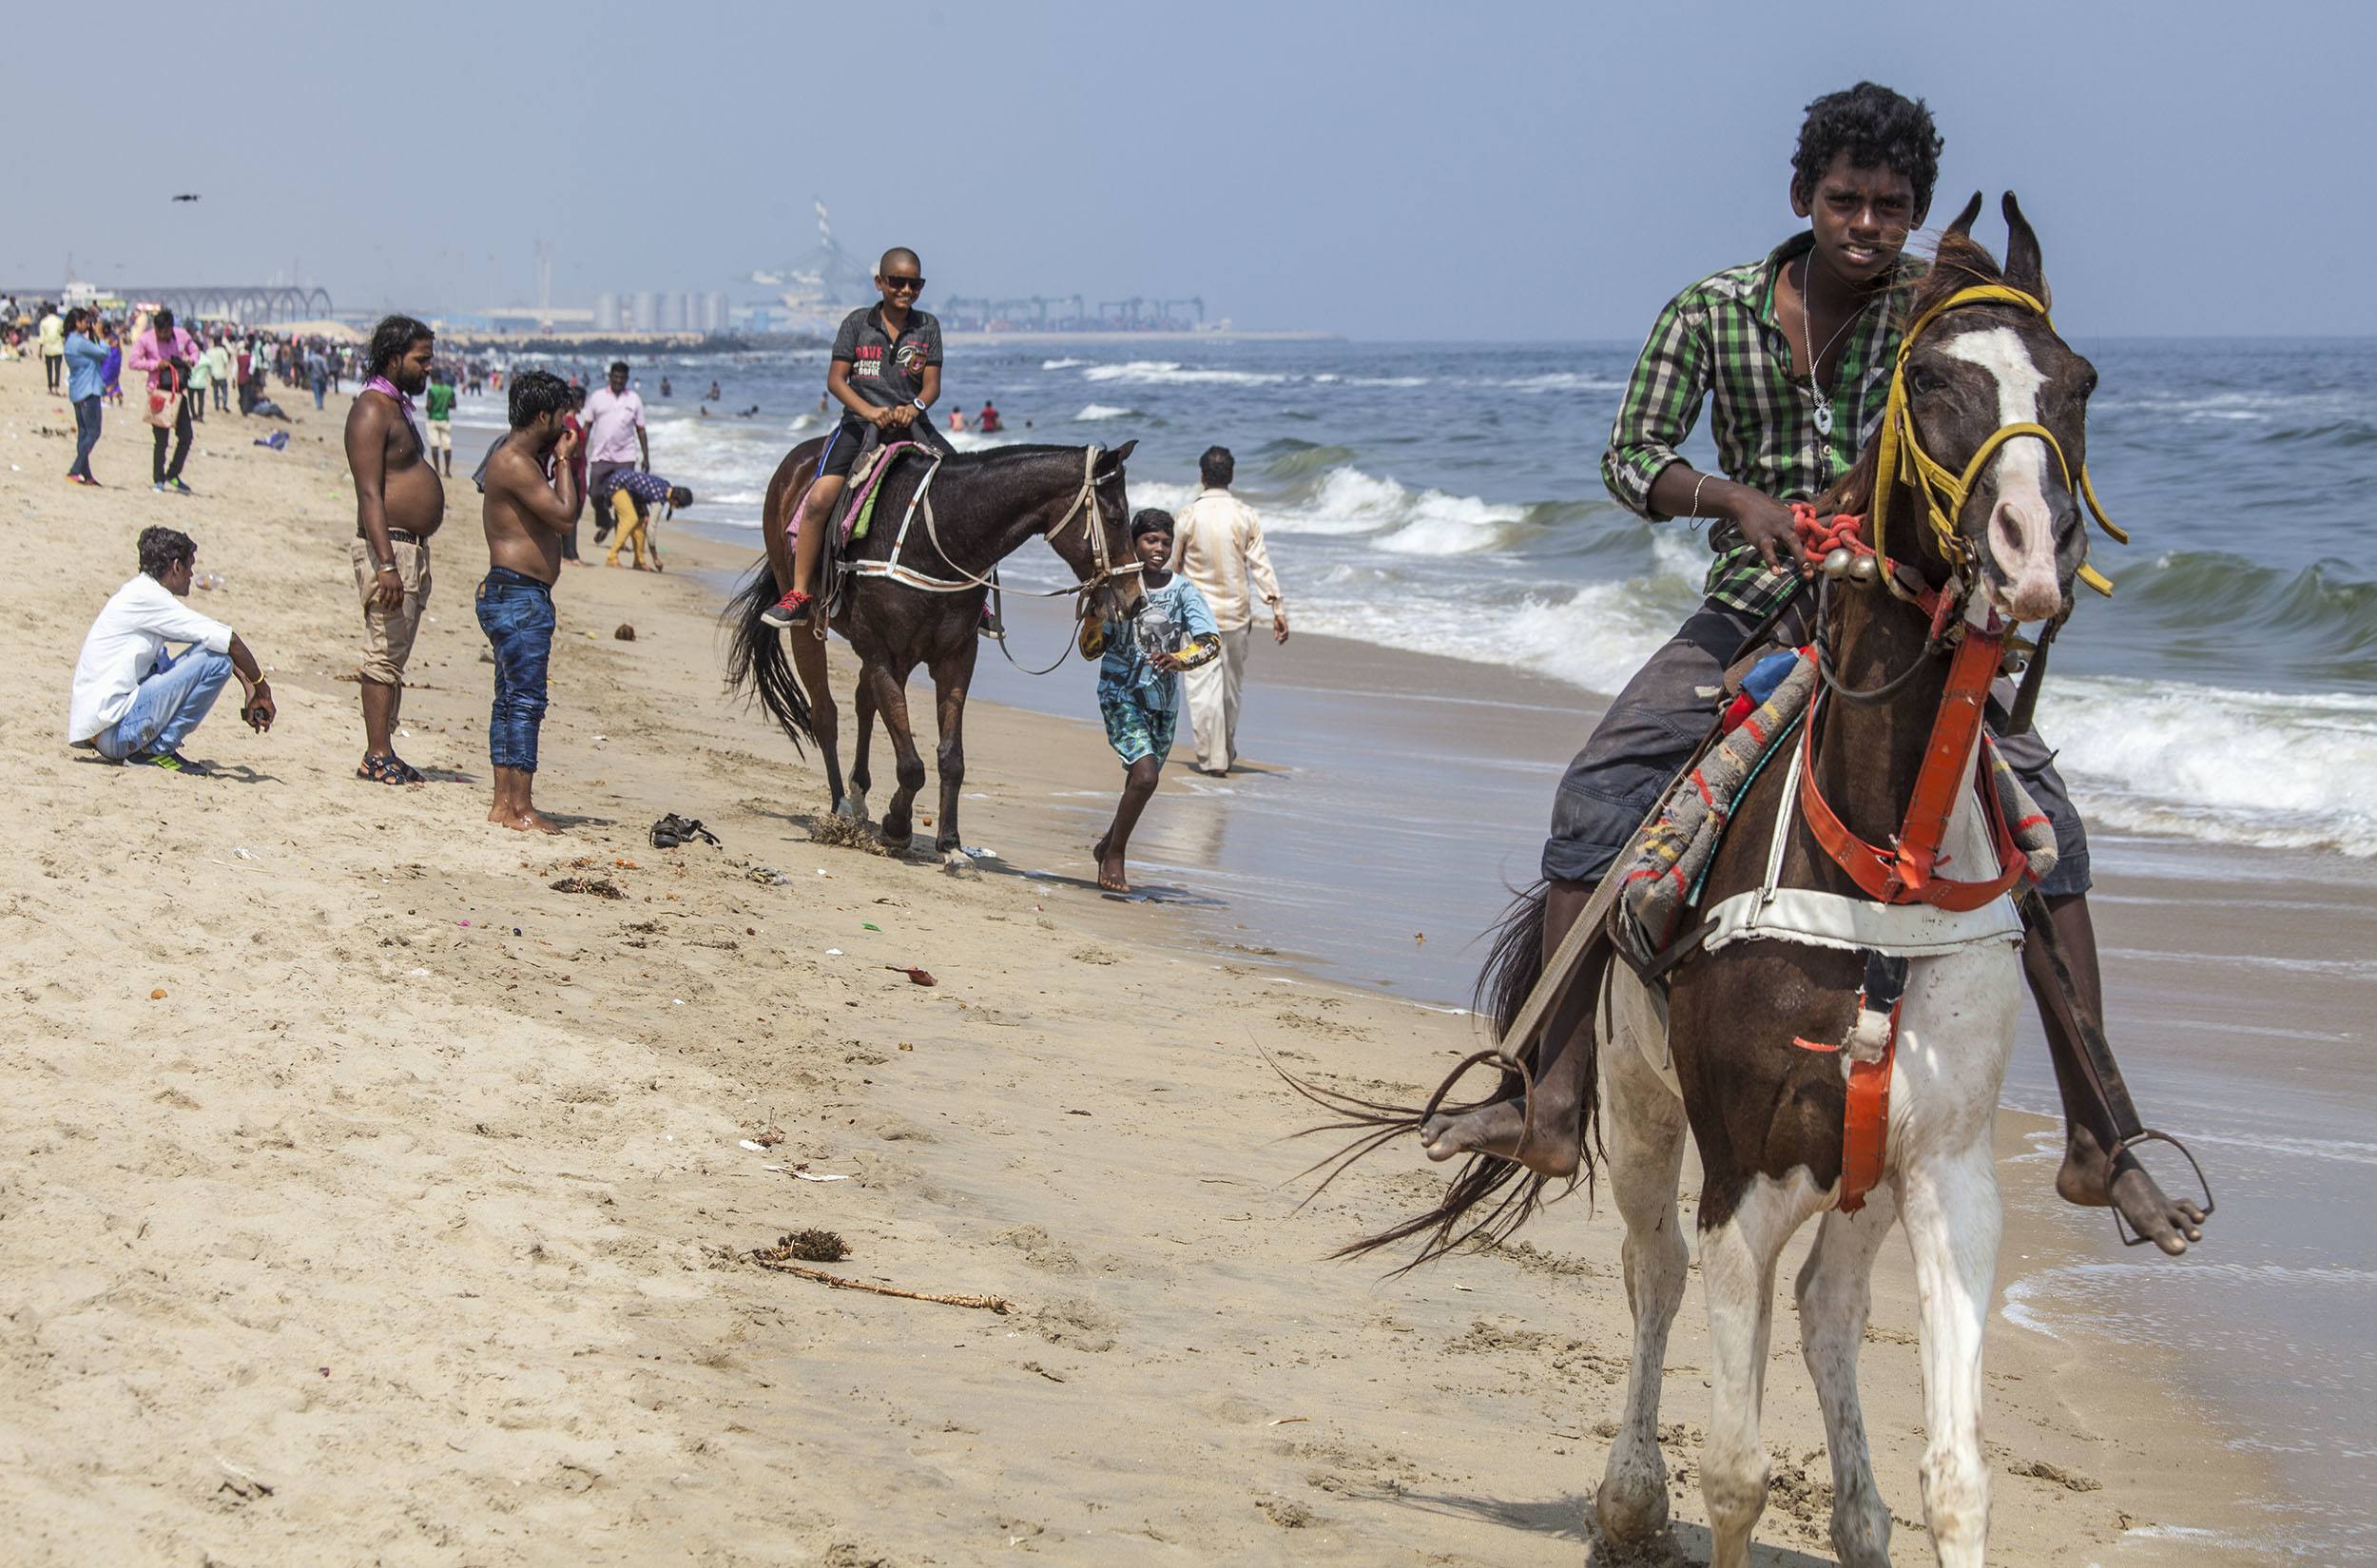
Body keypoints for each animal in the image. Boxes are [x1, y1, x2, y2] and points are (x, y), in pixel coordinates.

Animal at [723, 436, 1141, 855]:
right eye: (1116, 519)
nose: (1135, 598)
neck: (935, 537)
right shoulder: (883, 654)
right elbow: (910, 765)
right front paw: (896, 826)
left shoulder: (955, 656)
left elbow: (950, 757)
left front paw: (951, 842)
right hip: (810, 623)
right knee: (825, 714)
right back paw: (840, 807)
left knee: (863, 703)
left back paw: (858, 796)